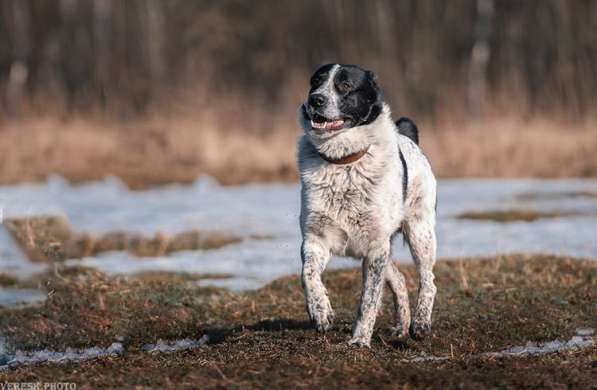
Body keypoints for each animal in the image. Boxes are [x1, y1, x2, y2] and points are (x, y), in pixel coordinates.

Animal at [298, 64, 438, 348]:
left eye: (345, 86)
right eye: (315, 82)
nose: (316, 99)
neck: (343, 162)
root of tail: (410, 139)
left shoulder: (375, 249)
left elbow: (369, 300)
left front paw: (360, 340)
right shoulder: (315, 239)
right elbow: (308, 275)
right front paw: (321, 312)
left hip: (420, 233)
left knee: (428, 280)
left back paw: (420, 324)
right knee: (400, 280)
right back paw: (401, 327)